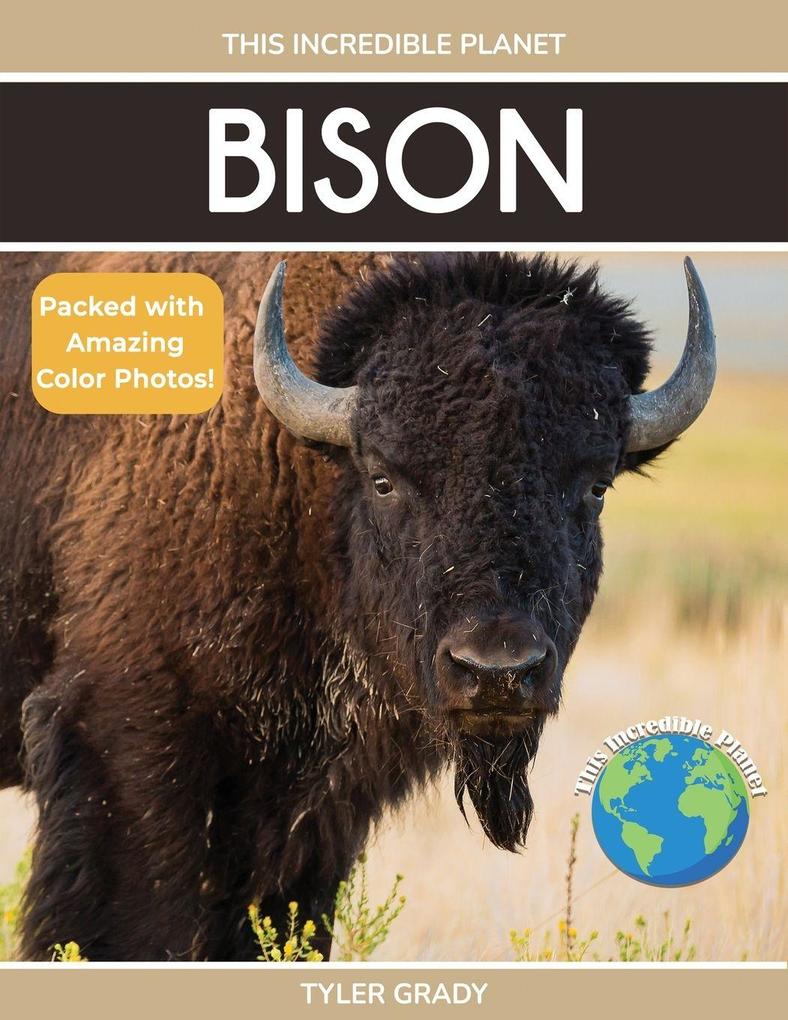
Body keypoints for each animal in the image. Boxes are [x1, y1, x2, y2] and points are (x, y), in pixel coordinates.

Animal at [0, 251, 715, 960]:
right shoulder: (126, 740)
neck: (298, 475)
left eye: (596, 486)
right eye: (383, 478)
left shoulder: (312, 807)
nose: (497, 670)